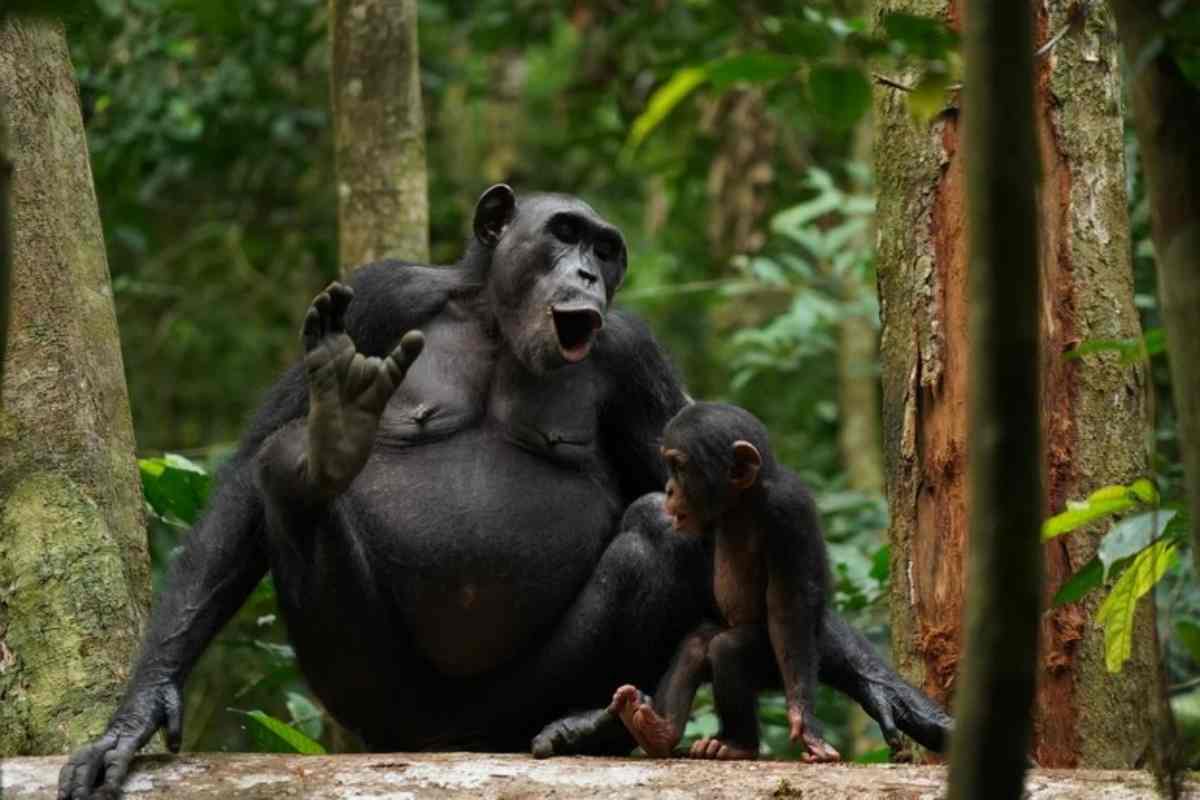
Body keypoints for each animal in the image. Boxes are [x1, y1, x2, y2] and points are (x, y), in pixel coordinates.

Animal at [614, 402, 840, 762]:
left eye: (679, 467)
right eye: (669, 467)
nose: (669, 489)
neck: (741, 504)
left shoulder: (788, 512)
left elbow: (790, 606)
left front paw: (803, 720)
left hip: (771, 670)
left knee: (728, 650)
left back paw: (738, 745)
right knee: (697, 643)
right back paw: (658, 731)